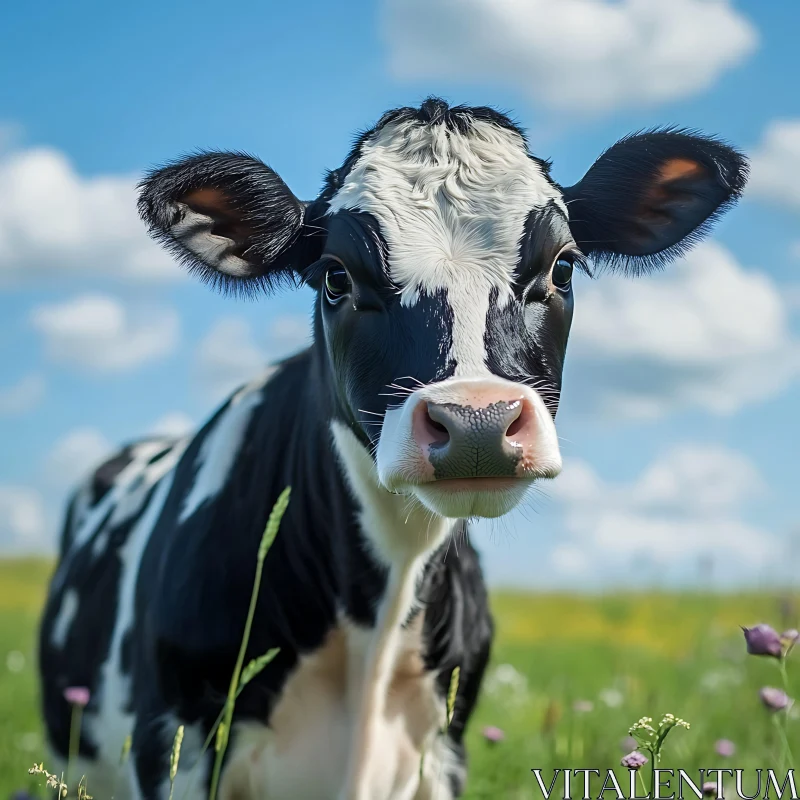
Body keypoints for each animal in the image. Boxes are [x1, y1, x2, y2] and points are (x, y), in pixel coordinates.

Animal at [39, 97, 752, 796]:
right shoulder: (174, 747)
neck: (374, 619)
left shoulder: (442, 750)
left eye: (564, 266)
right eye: (335, 277)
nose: (476, 423)